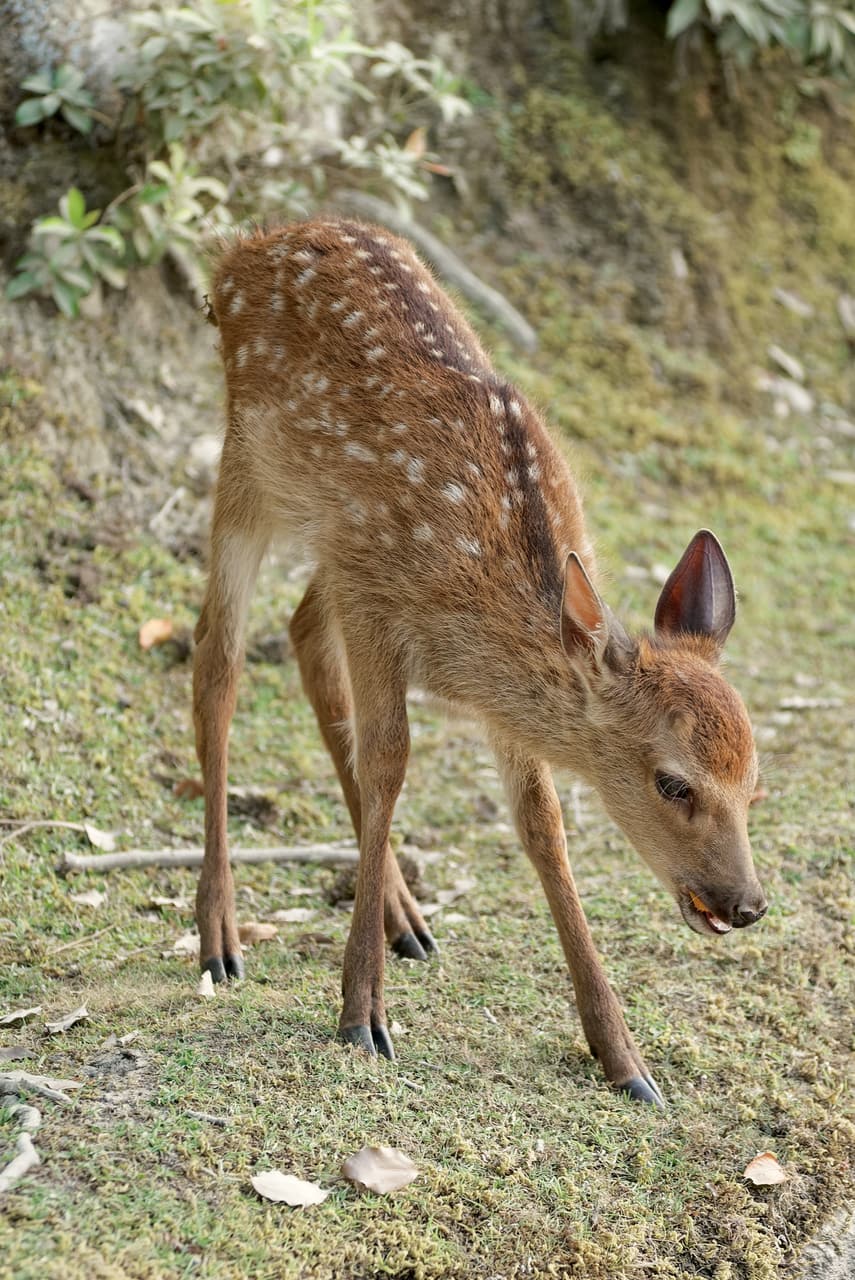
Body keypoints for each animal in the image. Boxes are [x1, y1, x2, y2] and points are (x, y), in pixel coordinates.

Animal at [193, 216, 767, 1107]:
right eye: (673, 782)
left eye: (754, 784)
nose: (745, 904)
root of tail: (241, 248)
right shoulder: (373, 601)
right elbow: (389, 760)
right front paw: (360, 1015)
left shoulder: (480, 689)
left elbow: (542, 827)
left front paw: (624, 1059)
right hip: (250, 465)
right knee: (215, 663)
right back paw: (219, 933)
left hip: (322, 538)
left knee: (298, 634)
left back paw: (403, 915)